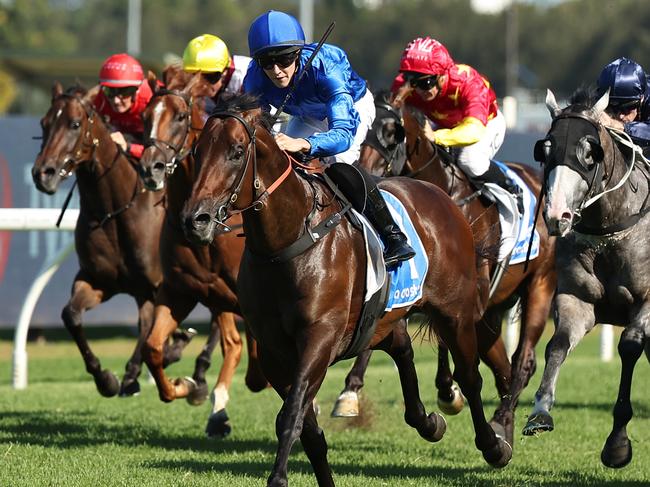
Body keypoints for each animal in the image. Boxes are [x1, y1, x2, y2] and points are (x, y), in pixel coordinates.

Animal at [31, 83, 172, 396]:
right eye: (43, 123)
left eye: (74, 124)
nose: (42, 174)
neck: (115, 210)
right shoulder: (98, 280)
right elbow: (71, 315)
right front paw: (106, 379)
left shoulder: (157, 285)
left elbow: (151, 328)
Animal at [138, 71, 268, 438]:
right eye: (145, 116)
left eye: (181, 117)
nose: (151, 168)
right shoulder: (180, 291)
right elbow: (152, 347)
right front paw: (185, 386)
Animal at [180, 93, 508, 486]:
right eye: (197, 151)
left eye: (237, 151)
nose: (195, 220)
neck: (288, 241)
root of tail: (441, 195)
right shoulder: (275, 352)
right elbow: (306, 427)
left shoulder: (319, 338)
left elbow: (291, 417)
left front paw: (278, 478)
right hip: (379, 320)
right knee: (403, 349)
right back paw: (428, 422)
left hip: (454, 312)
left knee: (470, 376)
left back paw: (494, 444)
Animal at [336, 89, 556, 448]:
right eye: (363, 129)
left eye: (393, 133)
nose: (363, 175)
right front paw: (349, 392)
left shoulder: (465, 291)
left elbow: (442, 336)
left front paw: (448, 390)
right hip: (495, 306)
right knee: (499, 358)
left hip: (540, 283)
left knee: (523, 360)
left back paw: (500, 419)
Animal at [520, 87, 648, 468]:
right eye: (545, 148)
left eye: (590, 152)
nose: (556, 215)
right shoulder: (577, 299)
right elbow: (557, 345)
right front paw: (540, 411)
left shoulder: (647, 301)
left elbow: (630, 346)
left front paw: (617, 444)